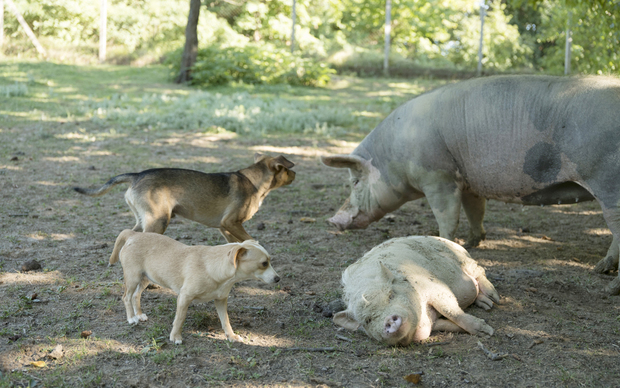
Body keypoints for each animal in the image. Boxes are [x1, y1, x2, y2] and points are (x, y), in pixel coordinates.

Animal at [72, 153, 296, 241]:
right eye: (286, 169)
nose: (295, 175)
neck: (253, 180)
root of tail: (137, 175)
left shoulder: (225, 227)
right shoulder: (231, 223)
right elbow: (252, 241)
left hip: (143, 220)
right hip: (158, 221)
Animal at [109, 229, 280, 344]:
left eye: (270, 261)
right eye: (264, 263)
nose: (278, 278)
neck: (214, 268)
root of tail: (133, 234)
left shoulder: (221, 300)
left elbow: (225, 320)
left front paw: (231, 336)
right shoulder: (184, 297)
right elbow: (179, 319)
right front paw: (175, 337)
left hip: (146, 279)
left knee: (136, 295)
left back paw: (139, 314)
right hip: (133, 277)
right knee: (126, 297)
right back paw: (131, 318)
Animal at [322, 75, 620, 294]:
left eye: (355, 181)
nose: (332, 220)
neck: (395, 153)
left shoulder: (439, 178)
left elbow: (447, 217)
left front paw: (444, 240)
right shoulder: (469, 184)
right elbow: (475, 211)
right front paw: (472, 242)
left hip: (608, 183)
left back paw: (607, 283)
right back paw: (600, 271)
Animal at [334, 236, 498, 346]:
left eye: (391, 295)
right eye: (368, 320)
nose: (388, 320)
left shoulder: (436, 288)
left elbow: (451, 311)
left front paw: (488, 332)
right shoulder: (431, 322)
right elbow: (447, 324)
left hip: (464, 261)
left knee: (479, 271)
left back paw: (494, 299)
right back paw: (487, 304)